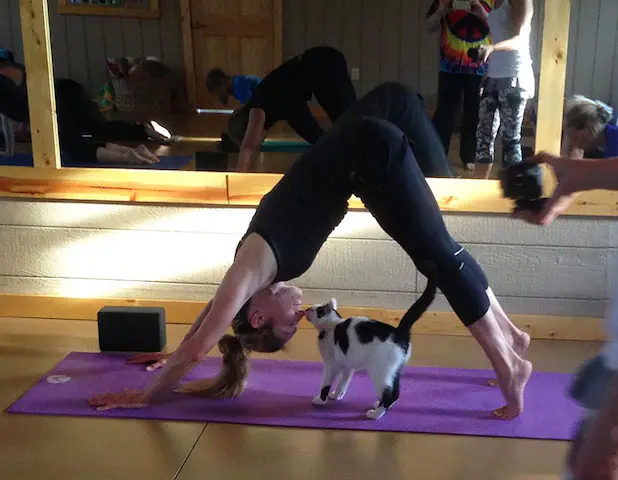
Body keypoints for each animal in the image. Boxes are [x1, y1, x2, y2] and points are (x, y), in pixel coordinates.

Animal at [304, 266, 438, 420]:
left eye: (313, 309)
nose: (305, 309)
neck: (332, 325)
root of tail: (399, 331)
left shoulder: (331, 365)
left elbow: (325, 384)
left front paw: (321, 399)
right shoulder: (347, 366)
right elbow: (343, 383)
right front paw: (337, 395)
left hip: (380, 371)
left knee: (389, 395)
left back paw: (376, 414)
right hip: (394, 370)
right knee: (396, 392)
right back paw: (379, 406)